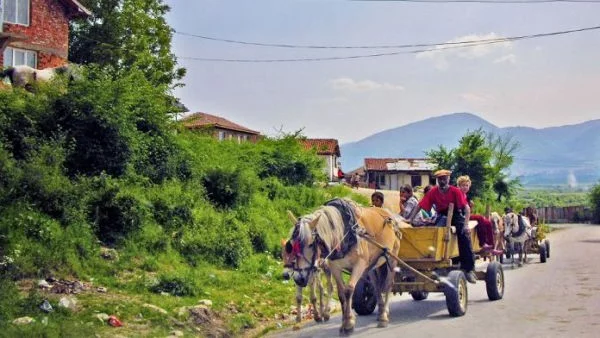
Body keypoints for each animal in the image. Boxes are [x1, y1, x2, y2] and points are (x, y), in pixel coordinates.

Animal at [288, 202, 400, 334]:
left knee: (388, 284)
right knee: (377, 286)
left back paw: (384, 316)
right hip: (374, 263)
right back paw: (381, 311)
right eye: (291, 244)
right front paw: (343, 323)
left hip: (392, 257)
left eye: (311, 244)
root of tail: (389, 214)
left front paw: (349, 323)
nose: (298, 279)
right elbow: (341, 293)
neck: (345, 232)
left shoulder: (360, 264)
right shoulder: (335, 267)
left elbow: (349, 290)